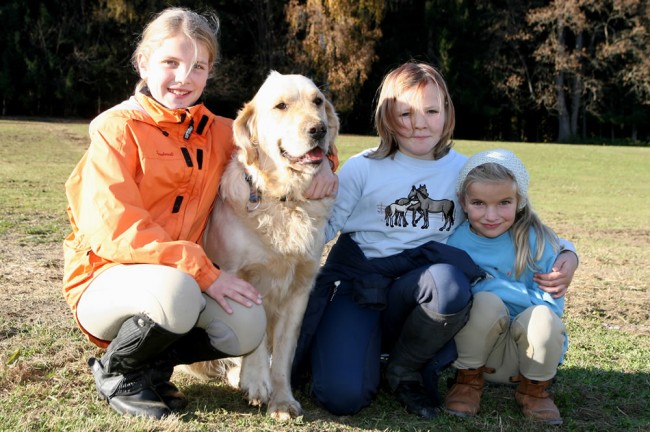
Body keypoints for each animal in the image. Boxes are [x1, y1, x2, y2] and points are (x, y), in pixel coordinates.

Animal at [185, 71, 340, 418]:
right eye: (281, 106)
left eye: (318, 101)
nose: (319, 130)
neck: (284, 199)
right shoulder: (238, 277)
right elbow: (256, 334)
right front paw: (256, 381)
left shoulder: (300, 289)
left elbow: (282, 353)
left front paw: (282, 400)